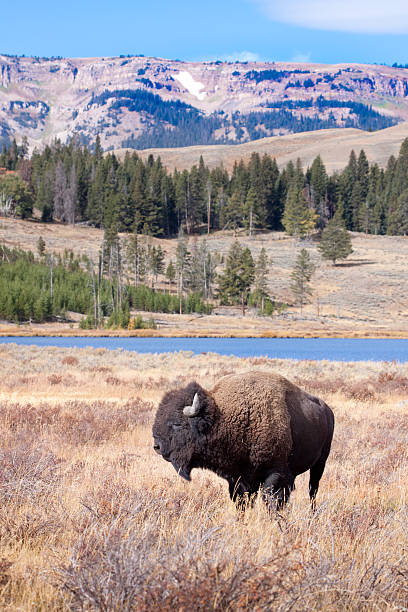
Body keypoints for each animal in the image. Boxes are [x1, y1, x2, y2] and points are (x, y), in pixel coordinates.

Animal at [153, 370, 334, 510]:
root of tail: (327, 410)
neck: (222, 416)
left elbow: (272, 502)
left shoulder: (275, 473)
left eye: (177, 423)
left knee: (313, 490)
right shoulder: (238, 478)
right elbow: (242, 502)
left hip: (320, 464)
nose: (157, 446)